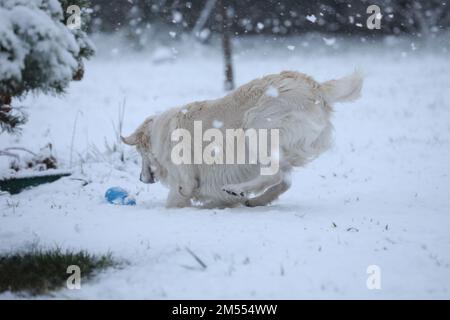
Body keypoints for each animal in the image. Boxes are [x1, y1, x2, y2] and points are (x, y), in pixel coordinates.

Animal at [122, 70, 362, 208]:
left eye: (139, 154)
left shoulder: (185, 180)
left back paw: (237, 189)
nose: (141, 179)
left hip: (256, 128)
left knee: (274, 174)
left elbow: (178, 196)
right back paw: (256, 200)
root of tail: (316, 87)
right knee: (283, 181)